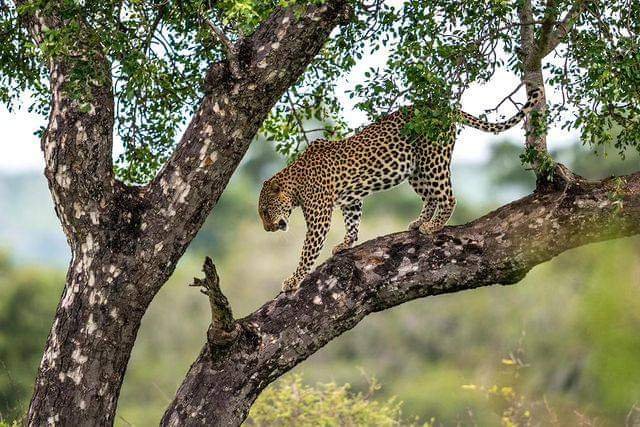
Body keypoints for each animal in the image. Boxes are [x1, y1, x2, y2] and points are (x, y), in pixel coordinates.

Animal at [258, 88, 540, 292]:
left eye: (265, 211)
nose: (267, 229)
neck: (294, 183)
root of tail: (442, 107)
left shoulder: (319, 217)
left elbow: (307, 252)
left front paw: (292, 281)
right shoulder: (351, 200)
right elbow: (353, 222)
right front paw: (346, 243)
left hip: (432, 159)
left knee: (447, 196)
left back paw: (432, 226)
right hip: (414, 169)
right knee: (430, 196)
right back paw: (419, 222)